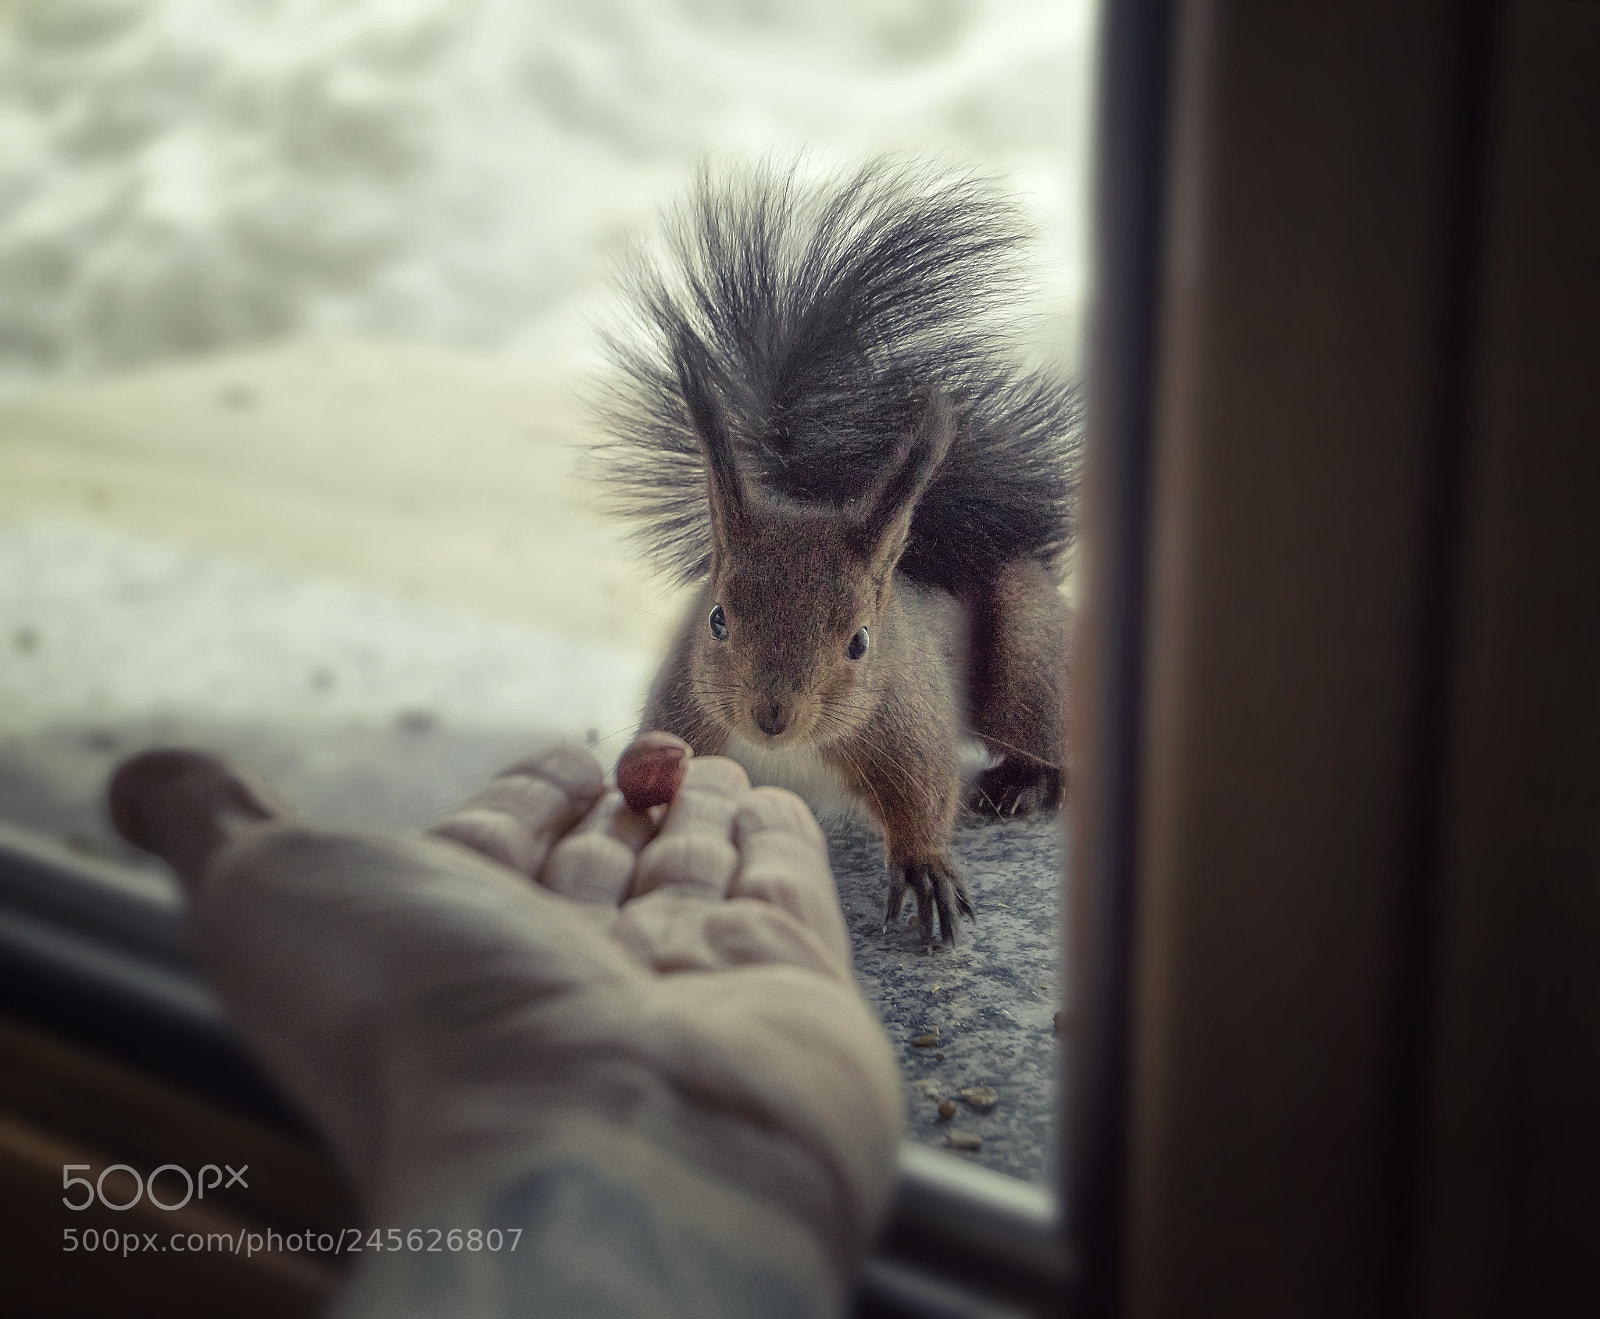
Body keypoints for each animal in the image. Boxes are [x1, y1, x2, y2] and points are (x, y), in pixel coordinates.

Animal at [592, 159, 1082, 945]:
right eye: (716, 619)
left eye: (859, 642)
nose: (771, 716)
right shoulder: (686, 714)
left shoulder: (905, 720)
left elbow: (925, 790)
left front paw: (924, 865)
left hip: (1029, 658)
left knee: (1046, 731)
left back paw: (1023, 780)